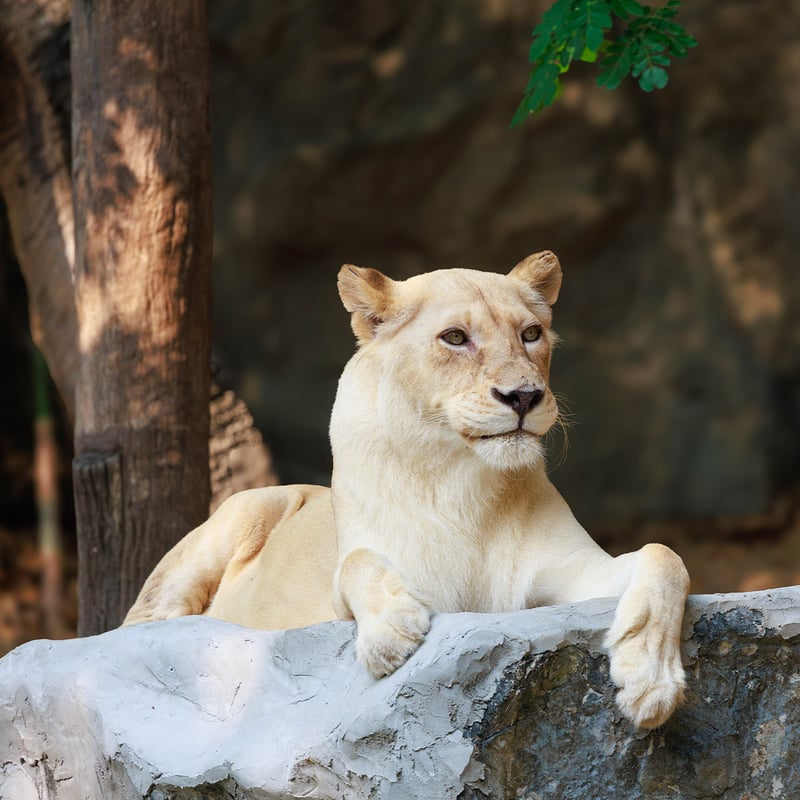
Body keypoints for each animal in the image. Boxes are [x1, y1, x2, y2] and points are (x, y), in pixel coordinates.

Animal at [124, 251, 690, 730]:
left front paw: (651, 681)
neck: (461, 483)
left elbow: (665, 557)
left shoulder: (565, 577)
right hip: (250, 505)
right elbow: (356, 563)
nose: (524, 396)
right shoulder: (340, 596)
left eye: (531, 333)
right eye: (455, 338)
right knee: (138, 623)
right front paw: (391, 634)